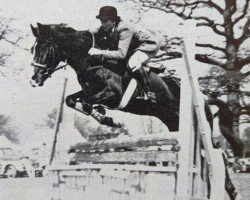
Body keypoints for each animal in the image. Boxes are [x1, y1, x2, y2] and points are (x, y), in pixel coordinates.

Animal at [30, 23, 181, 131]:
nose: (34, 80)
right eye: (33, 49)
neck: (92, 63)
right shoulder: (88, 91)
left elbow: (86, 103)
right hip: (169, 118)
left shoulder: (113, 95)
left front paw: (105, 116)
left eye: (43, 48)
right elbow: (71, 100)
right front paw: (107, 120)